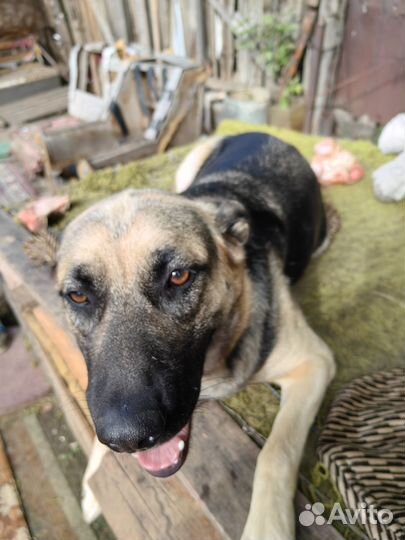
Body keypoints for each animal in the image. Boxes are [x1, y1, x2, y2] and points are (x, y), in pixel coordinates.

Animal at [56, 132, 334, 540]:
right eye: (78, 296)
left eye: (179, 276)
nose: (127, 438)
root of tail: (269, 135)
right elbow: (94, 430)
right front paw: (92, 481)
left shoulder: (313, 363)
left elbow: (276, 452)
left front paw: (266, 527)